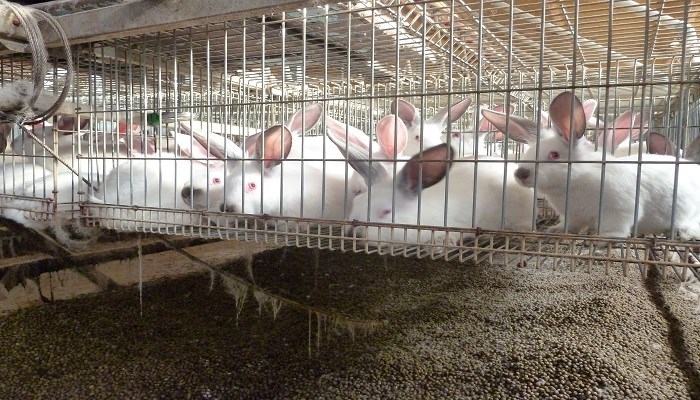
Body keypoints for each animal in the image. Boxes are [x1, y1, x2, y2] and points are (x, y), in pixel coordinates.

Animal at [482, 92, 700, 239]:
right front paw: (555, 229)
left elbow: (617, 227)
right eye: (528, 152)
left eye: (554, 154)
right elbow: (569, 225)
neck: (574, 183)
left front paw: (604, 237)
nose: (520, 173)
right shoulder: (571, 215)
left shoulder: (620, 209)